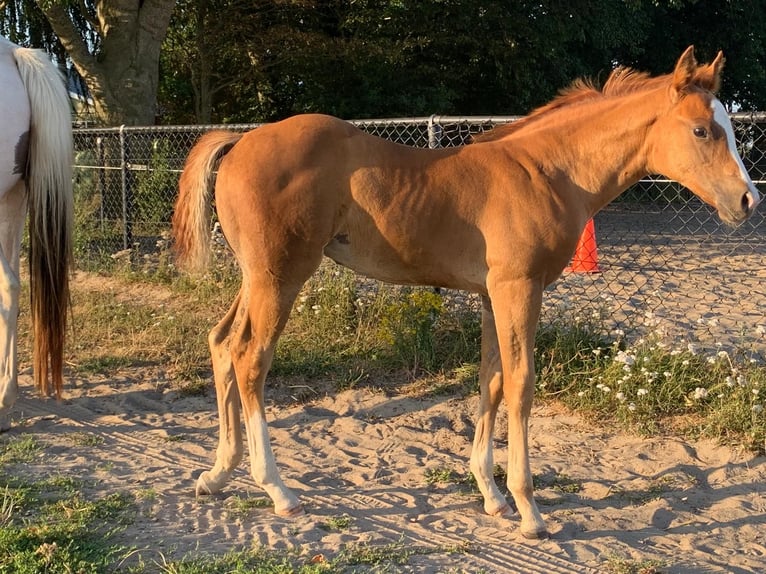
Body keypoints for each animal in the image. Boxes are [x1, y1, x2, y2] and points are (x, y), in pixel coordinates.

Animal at [172, 47, 760, 539]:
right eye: (702, 130)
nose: (749, 202)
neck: (548, 172)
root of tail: (241, 140)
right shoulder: (518, 288)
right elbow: (521, 385)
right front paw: (528, 509)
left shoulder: (489, 295)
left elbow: (491, 380)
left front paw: (492, 494)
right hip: (281, 276)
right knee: (250, 359)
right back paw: (278, 490)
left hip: (256, 277)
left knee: (221, 343)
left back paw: (217, 475)